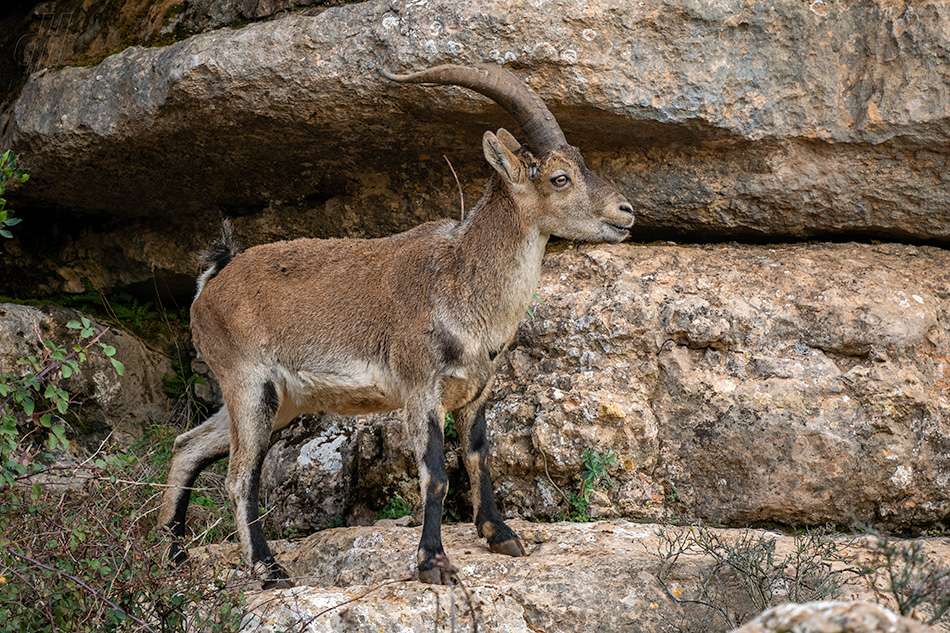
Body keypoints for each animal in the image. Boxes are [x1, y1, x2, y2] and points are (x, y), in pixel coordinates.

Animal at [160, 61, 636, 584]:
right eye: (560, 177)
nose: (626, 211)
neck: (461, 280)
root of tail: (212, 281)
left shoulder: (477, 389)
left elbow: (478, 456)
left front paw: (501, 536)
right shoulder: (419, 387)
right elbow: (435, 473)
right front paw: (433, 562)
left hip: (279, 399)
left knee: (188, 444)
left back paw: (171, 554)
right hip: (247, 382)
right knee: (239, 474)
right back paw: (267, 568)